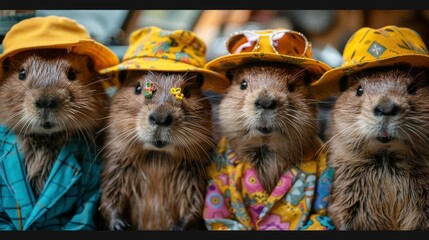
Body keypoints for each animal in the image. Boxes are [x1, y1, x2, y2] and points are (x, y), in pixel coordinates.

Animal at [99, 71, 214, 231]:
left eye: (186, 91)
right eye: (137, 88)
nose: (160, 117)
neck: (157, 158)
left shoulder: (193, 173)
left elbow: (195, 204)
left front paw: (177, 228)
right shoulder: (116, 165)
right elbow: (109, 196)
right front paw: (119, 225)